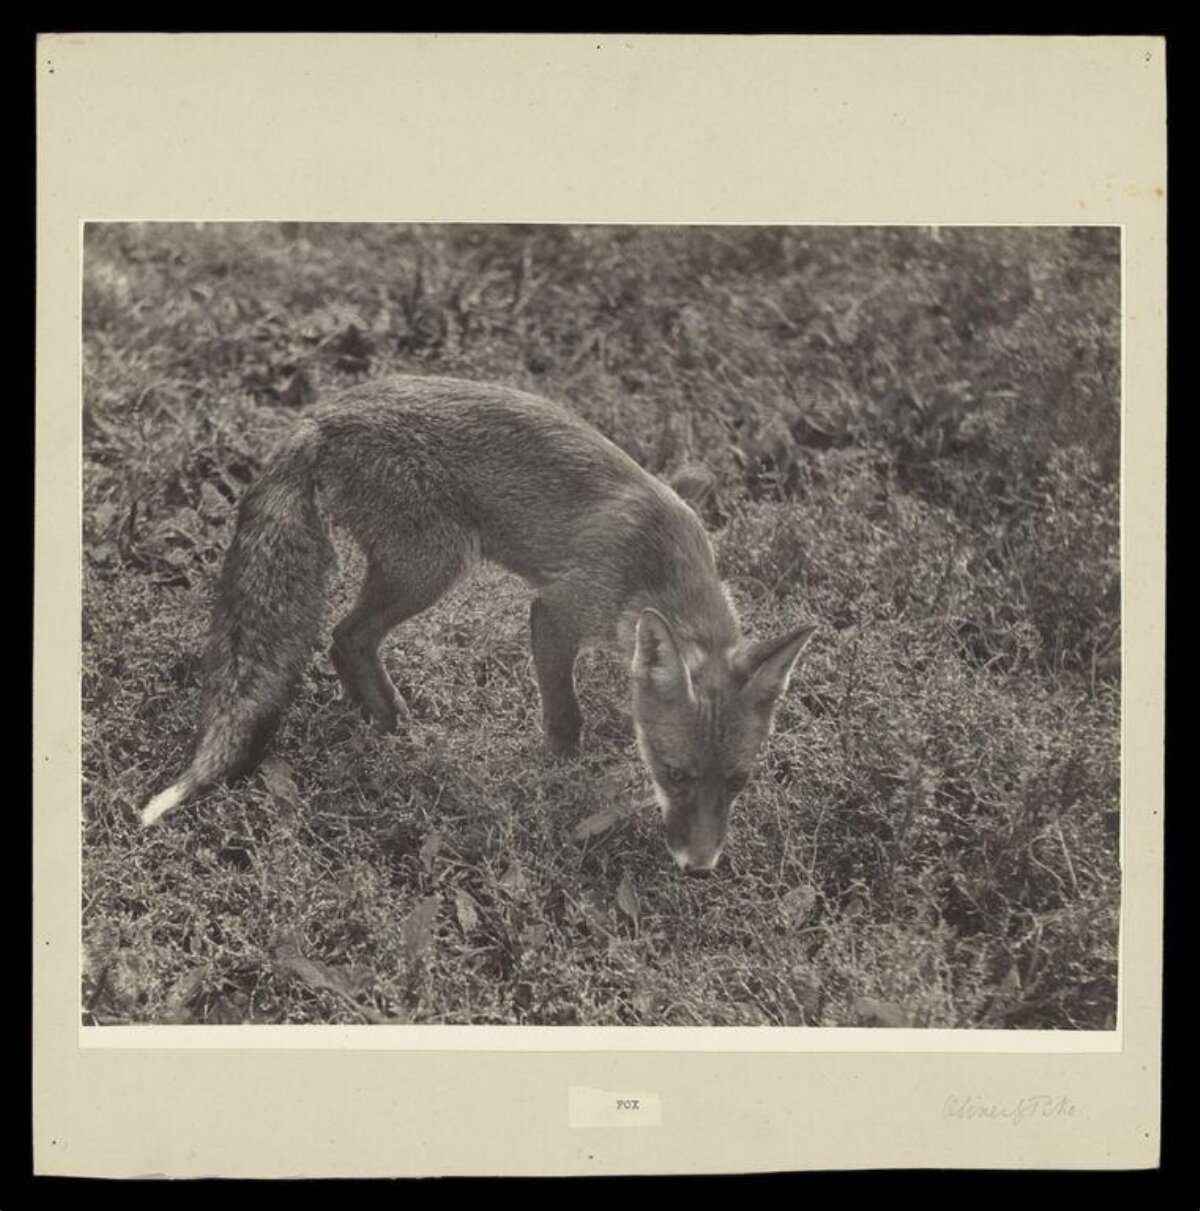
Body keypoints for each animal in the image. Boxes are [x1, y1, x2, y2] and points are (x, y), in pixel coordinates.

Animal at [140, 375, 817, 872]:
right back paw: (393, 725)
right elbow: (565, 718)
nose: (699, 867)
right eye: (675, 774)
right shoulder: (555, 612)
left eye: (738, 781)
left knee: (345, 643)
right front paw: (559, 780)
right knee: (344, 637)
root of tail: (322, 414)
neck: (657, 568)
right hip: (434, 565)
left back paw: (383, 718)